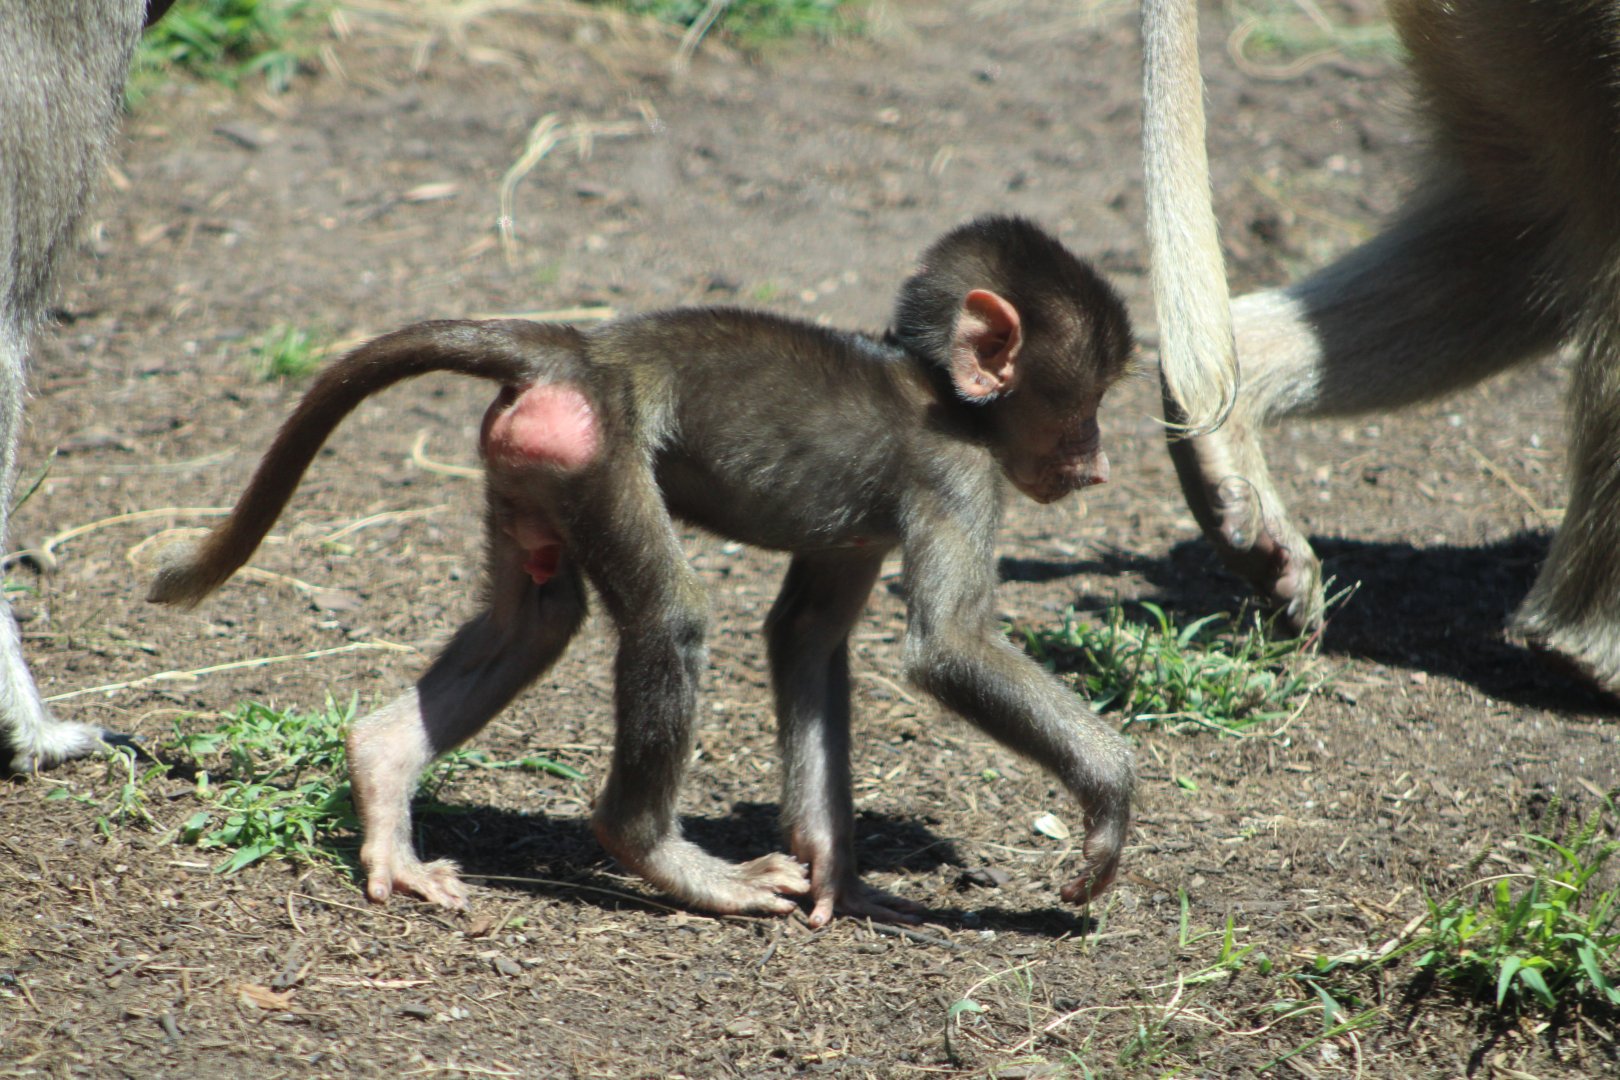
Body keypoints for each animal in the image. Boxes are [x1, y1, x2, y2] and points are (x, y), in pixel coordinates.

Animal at [147, 215, 1136, 925]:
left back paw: (384, 771)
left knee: (535, 620)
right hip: (598, 447)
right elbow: (946, 649)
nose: (1099, 467)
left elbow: (807, 637)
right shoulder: (956, 472)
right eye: (1086, 405)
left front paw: (840, 878)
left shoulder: (865, 531)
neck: (940, 390)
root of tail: (580, 351)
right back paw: (662, 856)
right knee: (669, 615)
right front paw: (1109, 795)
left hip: (533, 460)